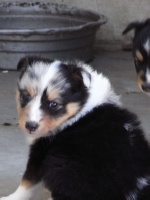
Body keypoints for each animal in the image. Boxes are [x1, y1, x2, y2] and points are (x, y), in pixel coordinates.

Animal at [0, 56, 150, 200]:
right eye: (25, 96)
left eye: (54, 104)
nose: (30, 126)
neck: (81, 107)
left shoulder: (41, 150)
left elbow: (27, 182)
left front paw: (10, 198)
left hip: (64, 163)